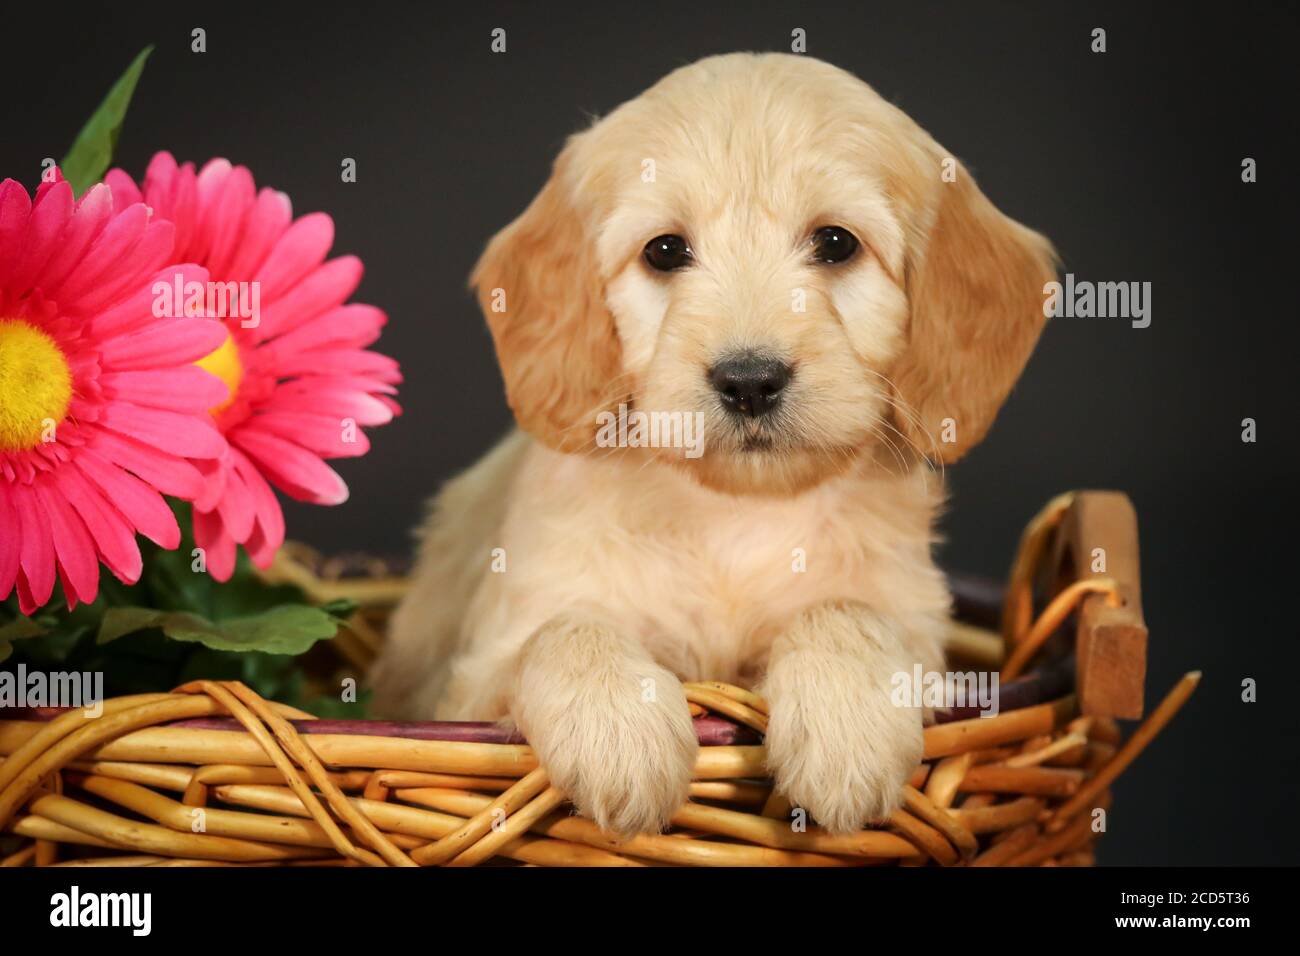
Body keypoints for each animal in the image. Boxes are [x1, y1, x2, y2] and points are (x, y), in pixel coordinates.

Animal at [369, 52, 1055, 837]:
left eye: (836, 243)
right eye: (666, 251)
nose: (749, 381)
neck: (734, 514)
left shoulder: (922, 633)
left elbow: (846, 611)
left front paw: (848, 723)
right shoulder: (474, 681)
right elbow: (563, 630)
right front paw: (620, 733)